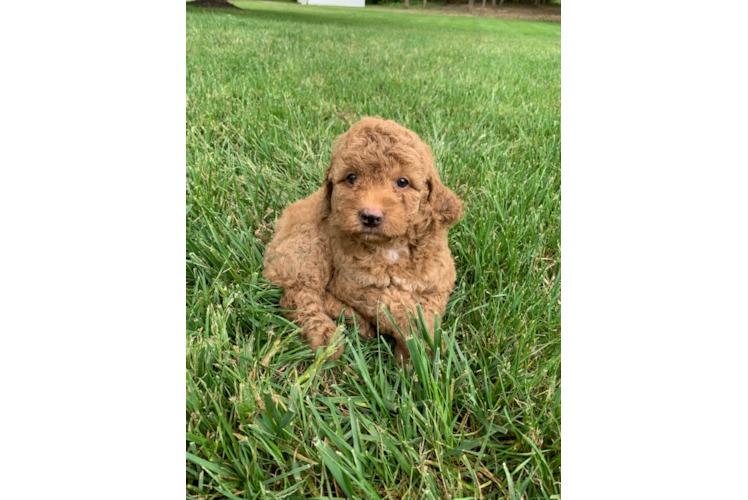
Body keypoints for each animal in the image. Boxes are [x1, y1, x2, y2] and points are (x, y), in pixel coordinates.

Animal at [262, 116, 462, 364]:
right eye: (351, 177)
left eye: (402, 182)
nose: (370, 216)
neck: (391, 246)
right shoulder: (355, 284)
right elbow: (395, 307)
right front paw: (418, 347)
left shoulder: (438, 282)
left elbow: (427, 310)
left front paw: (417, 352)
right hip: (307, 247)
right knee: (300, 296)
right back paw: (327, 338)